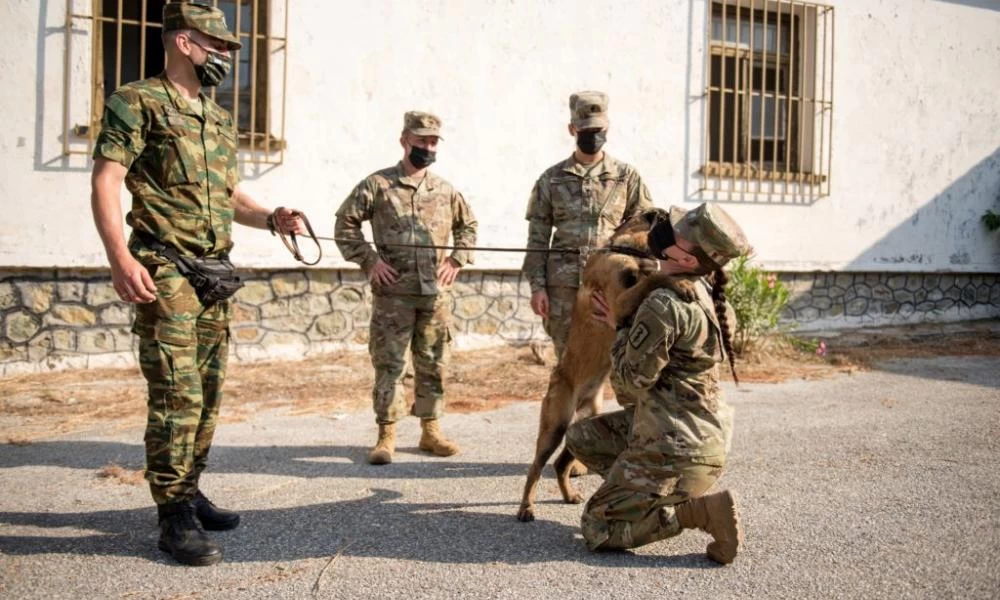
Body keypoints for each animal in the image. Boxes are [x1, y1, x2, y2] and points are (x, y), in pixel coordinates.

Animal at [516, 206, 696, 520]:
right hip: (555, 426)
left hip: (582, 422)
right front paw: (681, 283)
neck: (629, 248)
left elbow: (651, 277)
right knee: (536, 468)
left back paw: (569, 494)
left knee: (561, 463)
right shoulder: (620, 302)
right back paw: (526, 507)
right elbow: (652, 280)